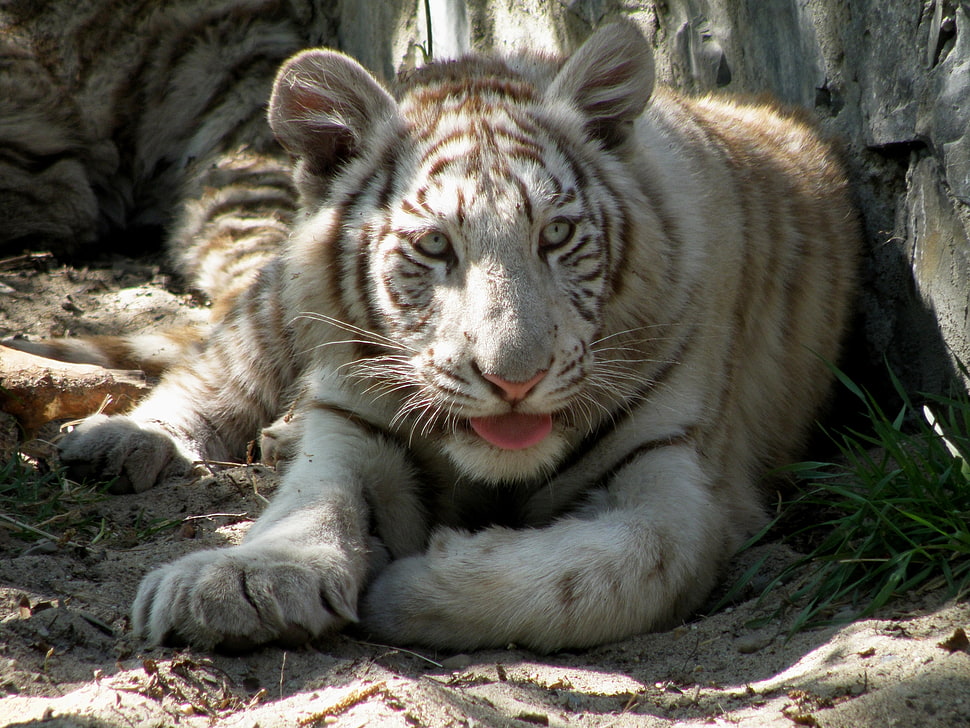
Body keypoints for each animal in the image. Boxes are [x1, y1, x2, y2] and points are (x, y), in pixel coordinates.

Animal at [5, 20, 858, 652]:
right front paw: (238, 581)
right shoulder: (353, 423)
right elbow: (310, 503)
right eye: (436, 246)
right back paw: (125, 439)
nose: (515, 378)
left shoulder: (681, 478)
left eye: (556, 236)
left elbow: (603, 574)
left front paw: (409, 587)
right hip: (279, 299)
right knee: (221, 368)